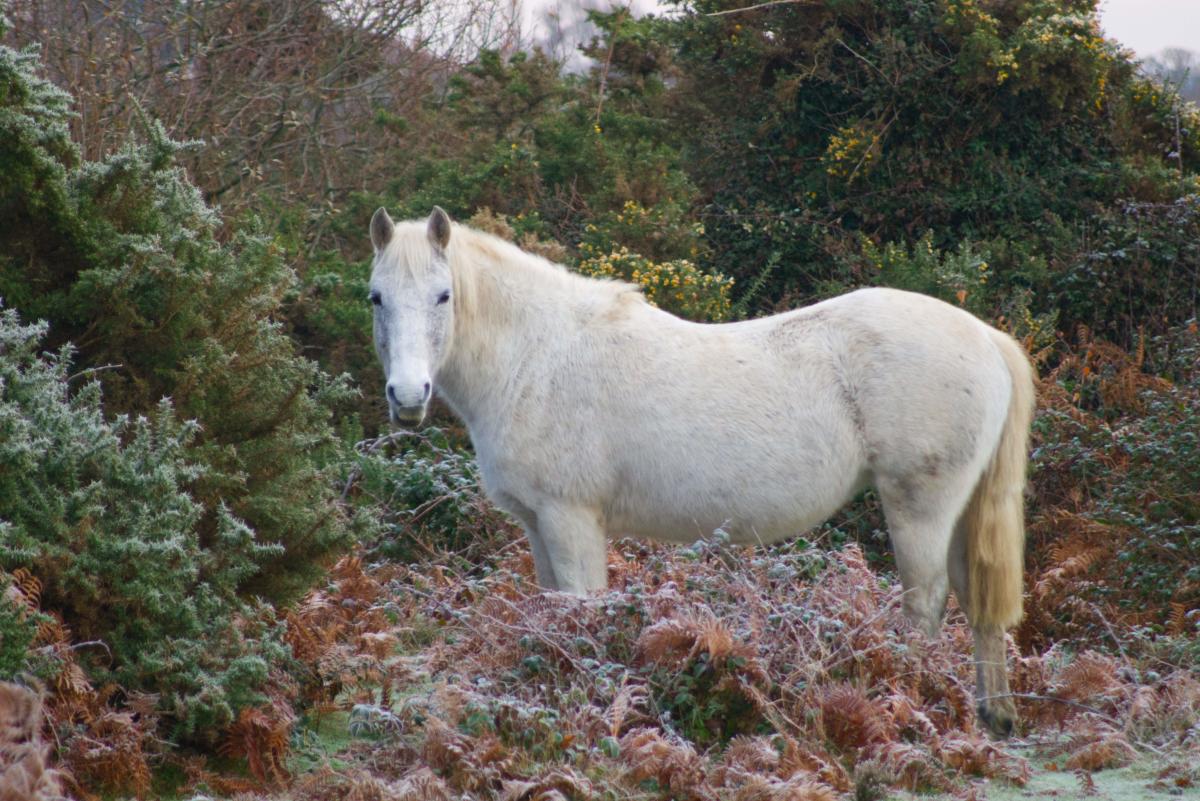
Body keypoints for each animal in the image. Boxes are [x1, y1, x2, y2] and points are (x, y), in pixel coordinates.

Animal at [369, 208, 1036, 738]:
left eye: (443, 295)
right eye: (376, 296)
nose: (407, 396)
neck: (539, 358)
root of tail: (985, 337)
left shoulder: (571, 521)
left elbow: (583, 614)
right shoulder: (538, 525)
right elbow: (554, 610)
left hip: (919, 507)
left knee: (926, 602)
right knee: (975, 600)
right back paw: (993, 716)